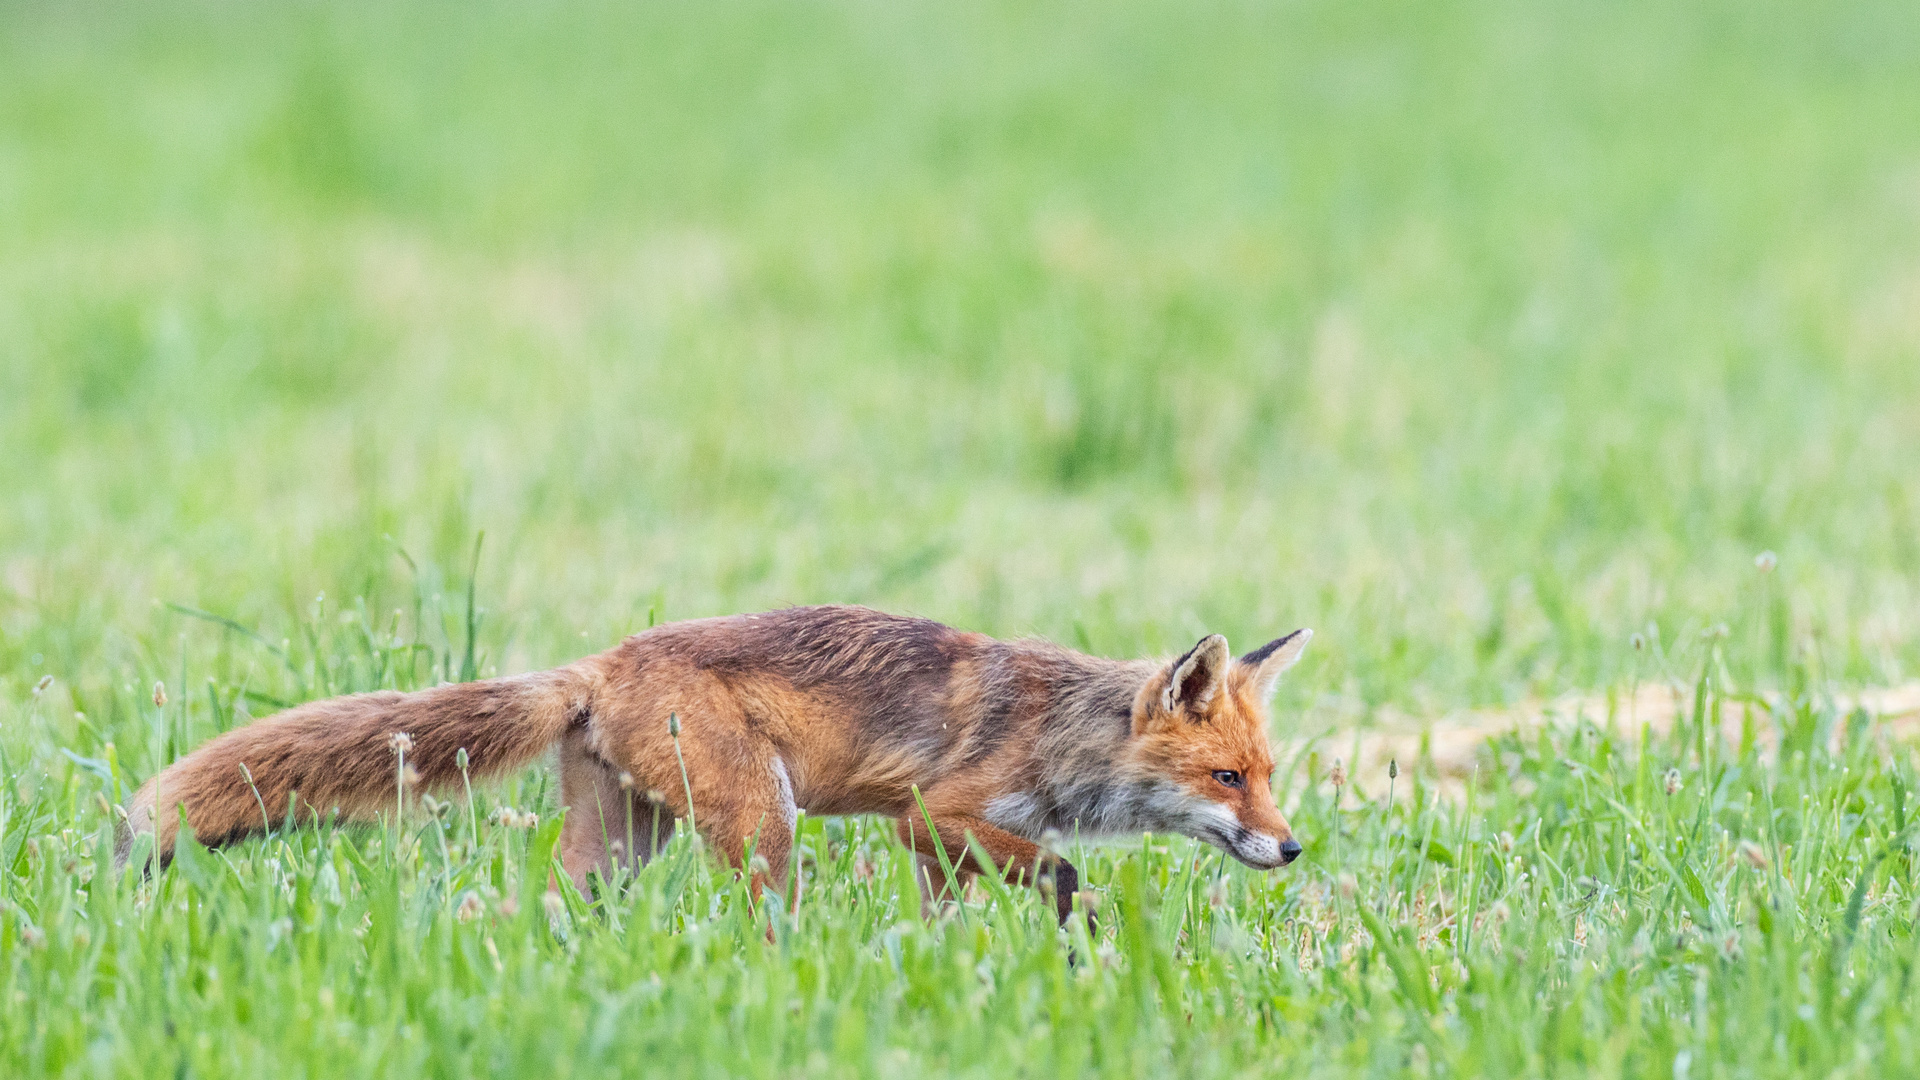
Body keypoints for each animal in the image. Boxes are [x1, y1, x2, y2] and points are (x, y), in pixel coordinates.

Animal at [120, 599, 1313, 922]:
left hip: (621, 848)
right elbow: (1062, 869)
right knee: (759, 918)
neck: (1059, 731)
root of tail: (598, 661)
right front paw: (1087, 925)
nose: (1294, 847)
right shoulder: (935, 813)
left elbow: (949, 920)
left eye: (1266, 774)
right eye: (1226, 779)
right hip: (762, 824)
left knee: (527, 912)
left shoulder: (935, 846)